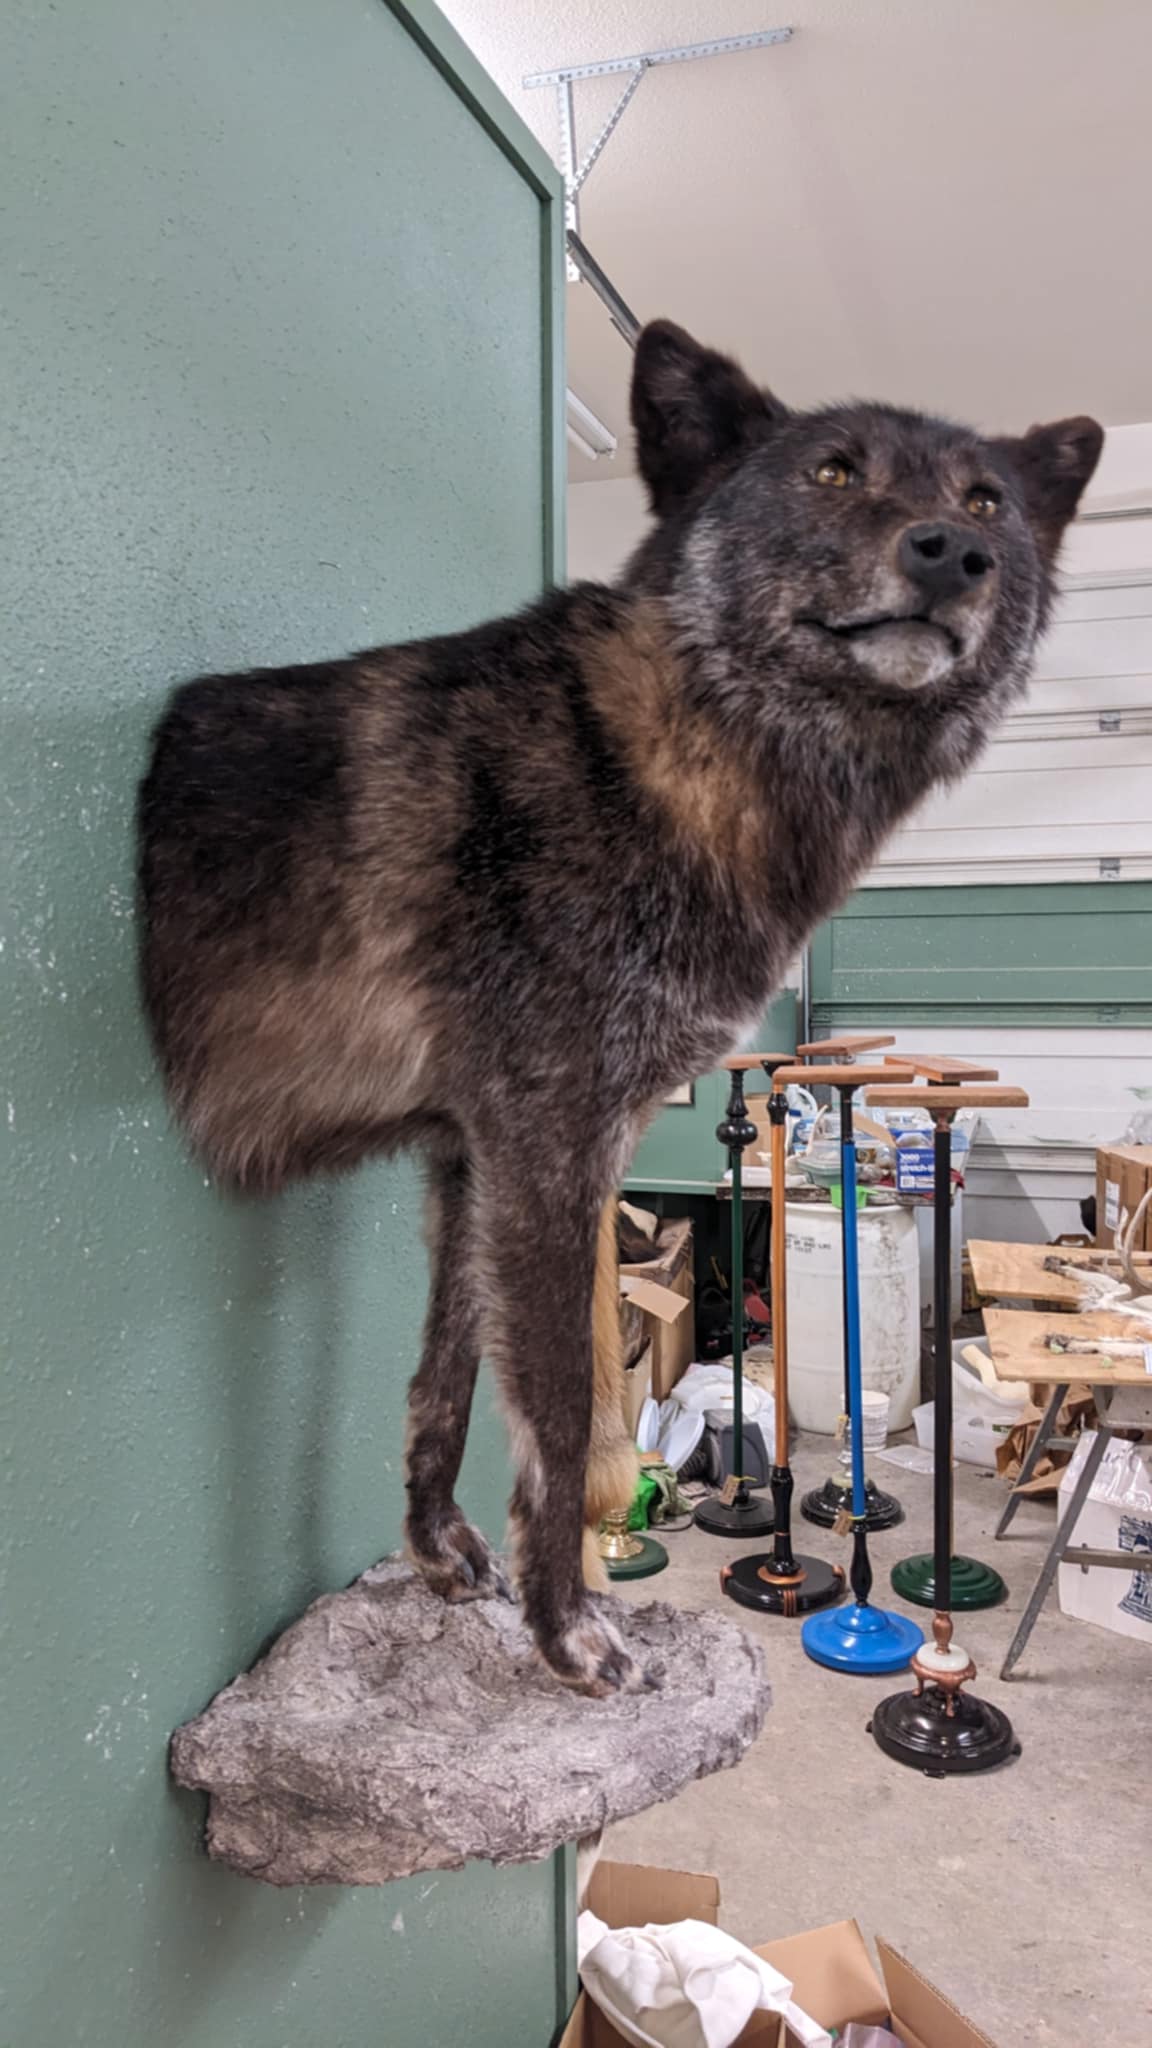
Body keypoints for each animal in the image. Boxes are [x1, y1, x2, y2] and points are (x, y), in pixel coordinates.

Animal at [138, 320, 1101, 1695]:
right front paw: (566, 1629)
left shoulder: (469, 1154)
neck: (678, 754)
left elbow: (444, 1376)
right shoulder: (549, 1142)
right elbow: (554, 1416)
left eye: (987, 503)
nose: (951, 553)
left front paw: (441, 1552)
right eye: (832, 471)